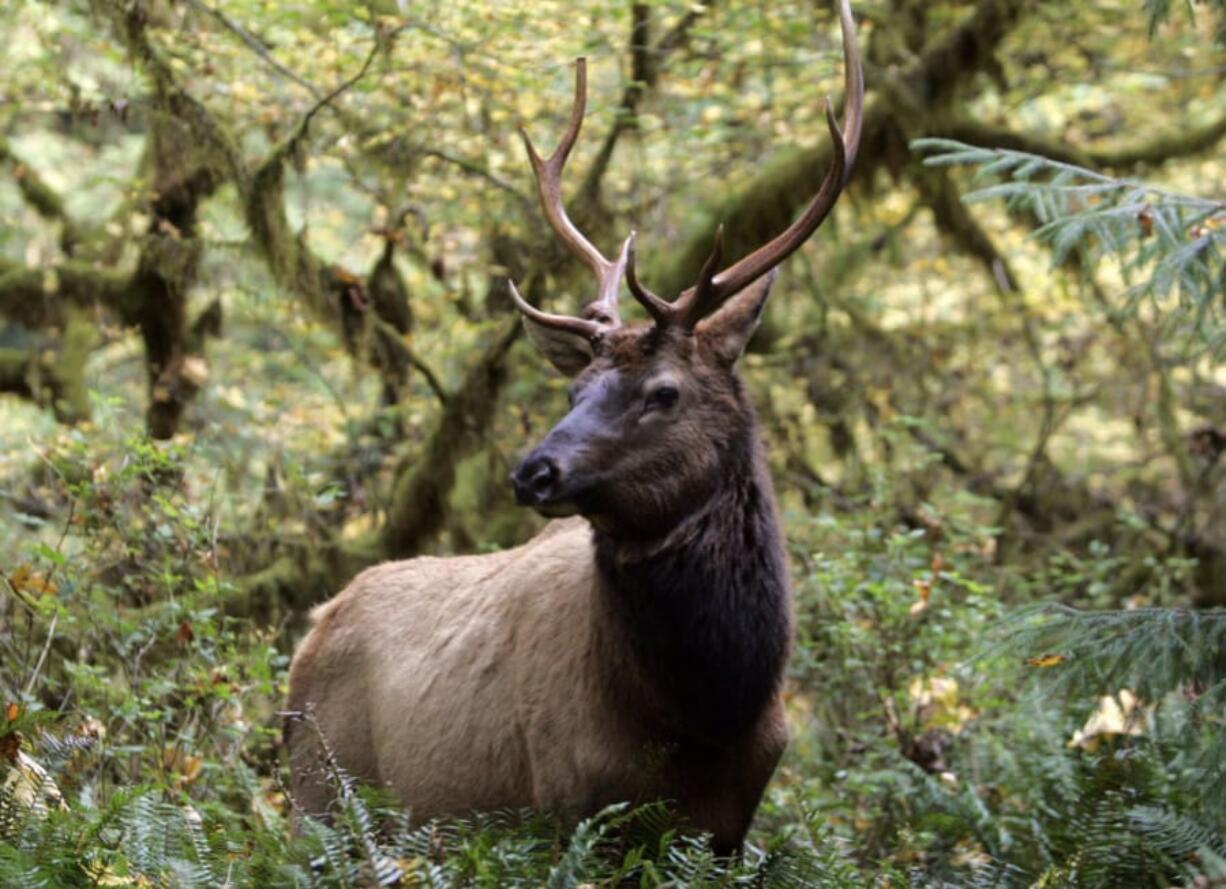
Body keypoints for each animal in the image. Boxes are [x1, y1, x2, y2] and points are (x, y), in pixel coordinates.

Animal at [286, 0, 863, 853]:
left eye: (663, 392)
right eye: (573, 390)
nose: (534, 471)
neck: (704, 719)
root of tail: (313, 626)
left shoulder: (730, 829)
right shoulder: (566, 807)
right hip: (318, 800)